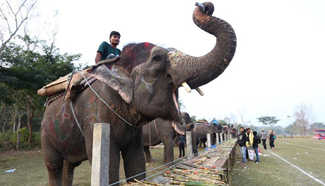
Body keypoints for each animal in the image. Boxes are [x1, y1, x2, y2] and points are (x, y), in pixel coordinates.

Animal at [40, 2, 235, 185]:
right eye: (157, 58)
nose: (204, 6)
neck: (118, 64)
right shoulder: (95, 117)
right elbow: (110, 163)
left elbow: (136, 161)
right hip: (46, 134)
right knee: (54, 166)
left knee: (69, 166)